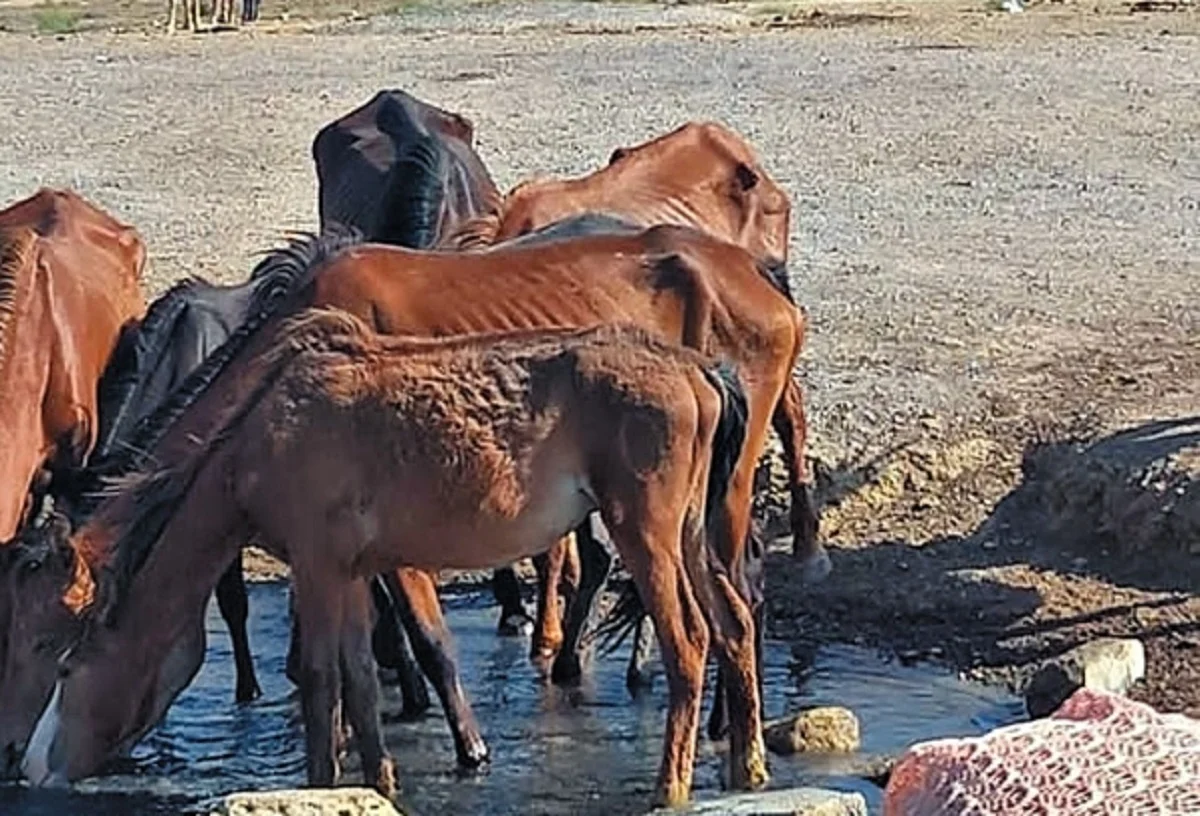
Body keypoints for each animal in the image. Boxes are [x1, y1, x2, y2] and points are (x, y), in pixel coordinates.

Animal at [21, 309, 768, 806]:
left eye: (66, 665)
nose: (30, 768)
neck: (263, 434)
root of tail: (696, 367)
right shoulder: (352, 572)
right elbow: (357, 678)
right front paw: (376, 783)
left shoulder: (317, 568)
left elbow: (320, 679)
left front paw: (320, 784)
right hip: (692, 536)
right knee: (734, 626)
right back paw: (747, 768)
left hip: (646, 533)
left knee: (689, 642)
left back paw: (671, 786)